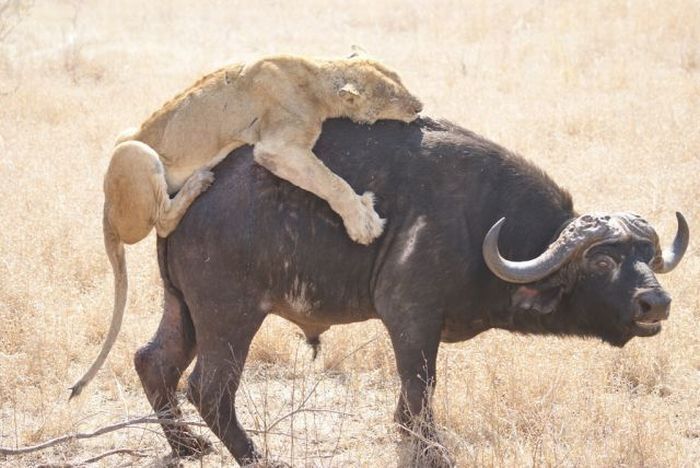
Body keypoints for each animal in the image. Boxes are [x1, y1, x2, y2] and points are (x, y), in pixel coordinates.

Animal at [69, 54, 422, 398]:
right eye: (392, 94)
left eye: (400, 79)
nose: (419, 106)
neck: (316, 76)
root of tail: (106, 206)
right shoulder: (278, 148)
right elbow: (330, 182)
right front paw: (364, 223)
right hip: (136, 153)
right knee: (164, 221)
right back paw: (199, 181)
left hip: (126, 134)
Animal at [134, 117, 692, 464]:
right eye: (603, 260)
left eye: (647, 255)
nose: (656, 302)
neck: (487, 226)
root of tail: (179, 198)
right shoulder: (411, 319)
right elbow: (421, 388)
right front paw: (431, 450)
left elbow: (409, 402)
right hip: (229, 316)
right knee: (209, 388)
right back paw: (255, 456)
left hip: (183, 310)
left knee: (153, 361)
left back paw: (188, 446)